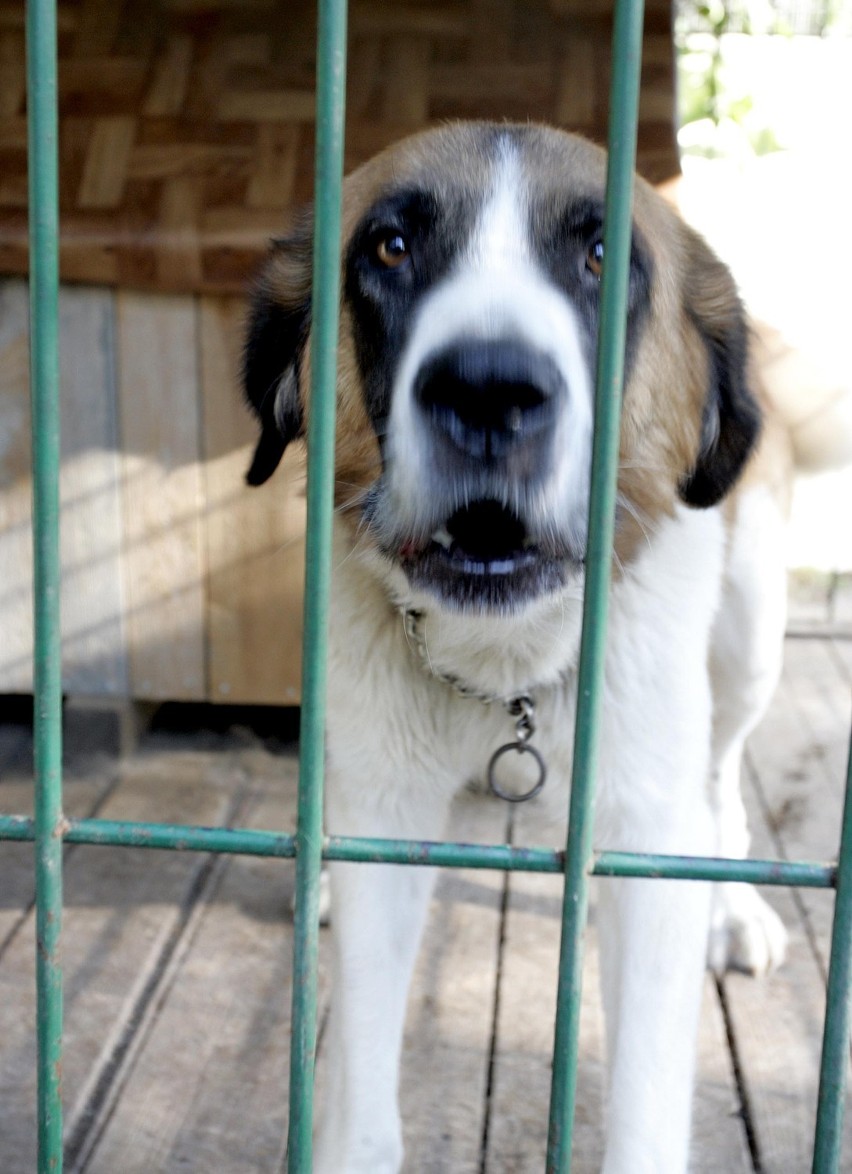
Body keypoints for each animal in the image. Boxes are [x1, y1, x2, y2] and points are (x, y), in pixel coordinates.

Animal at [244, 121, 798, 1174]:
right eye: (392, 249)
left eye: (602, 258)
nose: (489, 389)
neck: (502, 669)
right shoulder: (388, 811)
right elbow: (364, 1083)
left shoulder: (646, 837)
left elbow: (645, 1109)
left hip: (749, 640)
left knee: (723, 780)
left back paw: (735, 907)